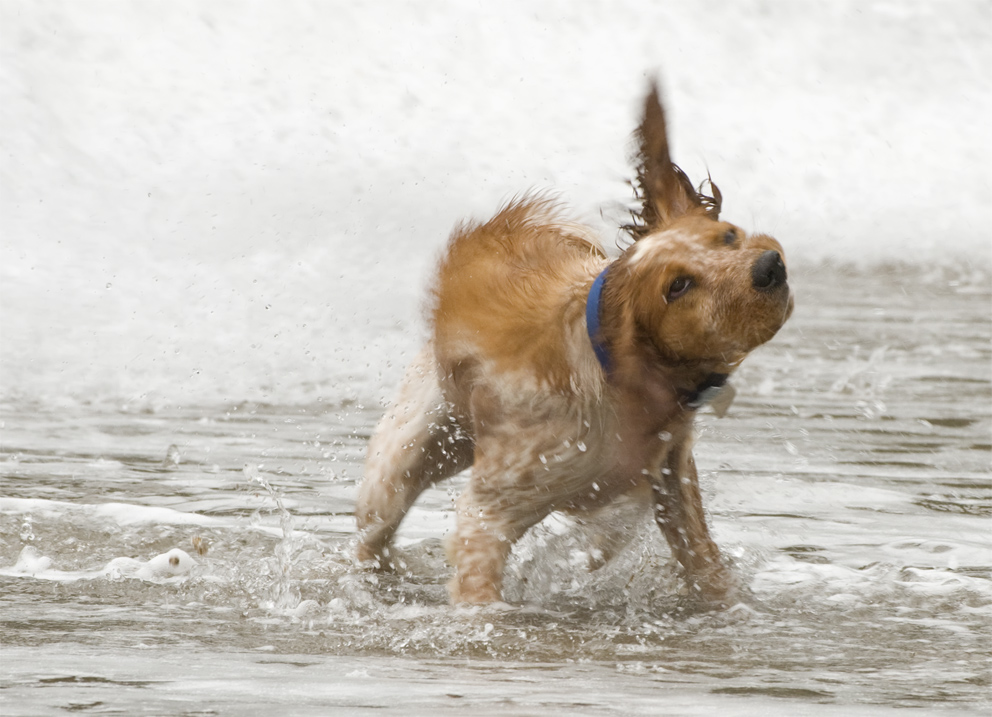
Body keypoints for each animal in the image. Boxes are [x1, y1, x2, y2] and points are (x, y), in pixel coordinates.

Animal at [352, 81, 796, 608]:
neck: (617, 377)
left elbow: (701, 559)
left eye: (727, 237)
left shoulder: (671, 470)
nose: (770, 267)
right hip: (409, 455)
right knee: (373, 533)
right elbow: (481, 587)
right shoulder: (490, 511)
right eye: (678, 286)